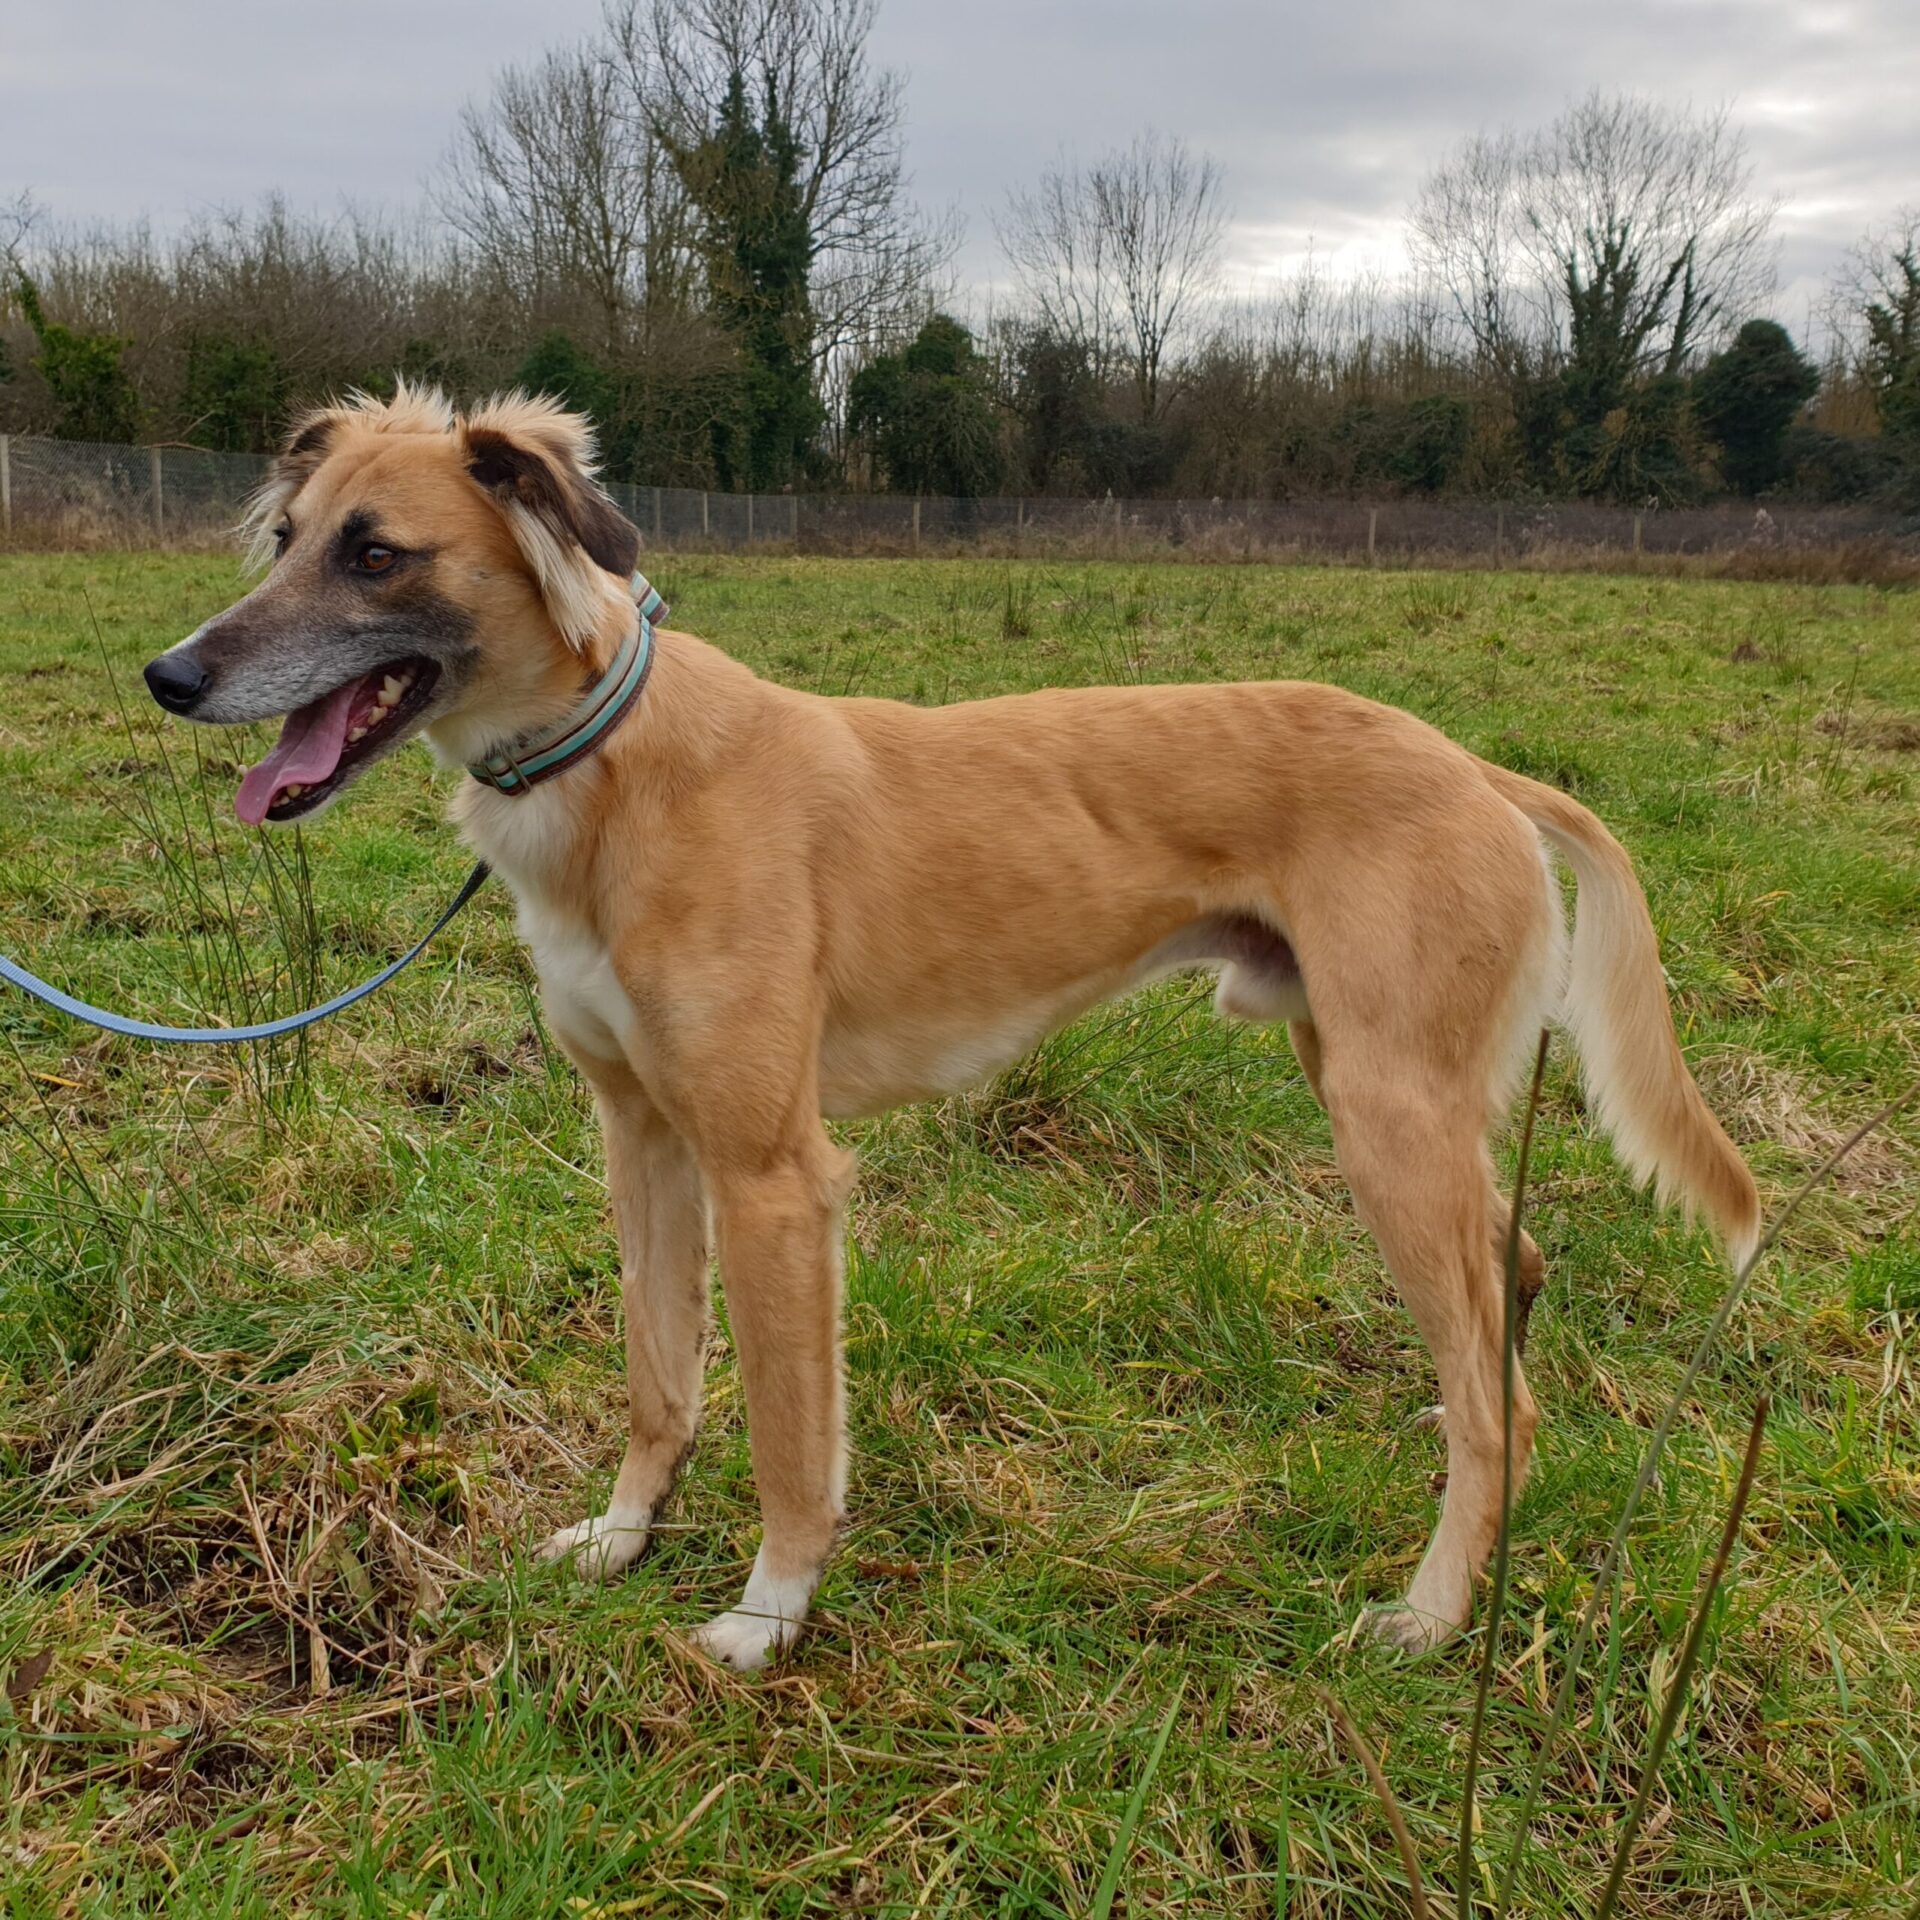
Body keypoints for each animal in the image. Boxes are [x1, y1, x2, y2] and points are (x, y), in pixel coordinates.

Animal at [145, 385, 1766, 1666]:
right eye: (286, 538)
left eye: (377, 553)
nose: (171, 677)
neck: (621, 771)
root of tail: (1483, 770)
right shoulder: (643, 1136)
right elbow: (661, 1374)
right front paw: (621, 1537)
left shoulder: (774, 1176)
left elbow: (790, 1433)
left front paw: (768, 1616)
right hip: (1381, 1093)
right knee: (1511, 1290)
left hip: (1385, 1121)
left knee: (1506, 1404)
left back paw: (1430, 1613)